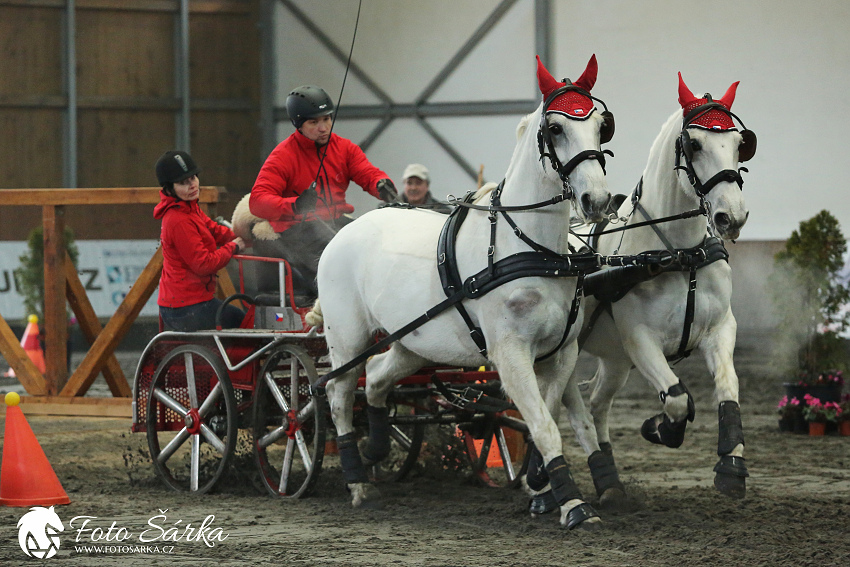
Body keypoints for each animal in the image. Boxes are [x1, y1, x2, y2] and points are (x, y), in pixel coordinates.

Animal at [310, 55, 608, 532]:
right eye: (556, 128)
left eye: (602, 124)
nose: (596, 200)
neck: (533, 251)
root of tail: (344, 232)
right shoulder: (510, 354)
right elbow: (544, 426)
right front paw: (573, 505)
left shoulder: (560, 353)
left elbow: (546, 418)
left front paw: (540, 486)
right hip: (346, 338)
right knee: (339, 394)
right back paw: (357, 481)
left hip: (413, 344)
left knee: (375, 378)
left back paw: (376, 449)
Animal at [568, 73, 752, 508]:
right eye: (694, 144)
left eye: (741, 142)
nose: (732, 217)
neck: (679, 255)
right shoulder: (639, 340)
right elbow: (678, 398)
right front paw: (659, 428)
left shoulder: (721, 329)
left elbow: (729, 388)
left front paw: (731, 467)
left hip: (614, 360)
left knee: (596, 401)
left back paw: (610, 483)